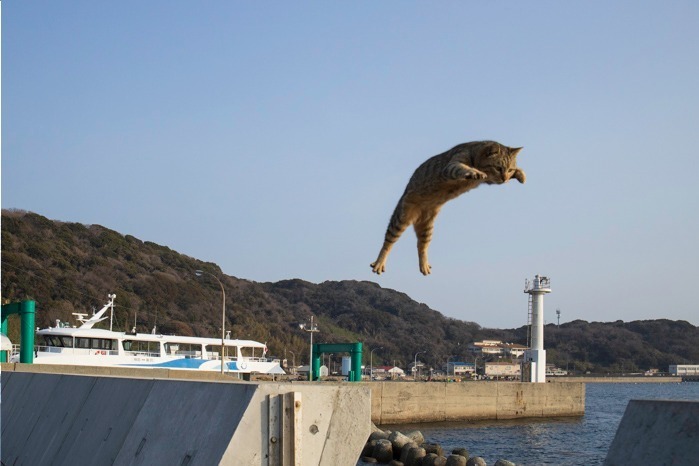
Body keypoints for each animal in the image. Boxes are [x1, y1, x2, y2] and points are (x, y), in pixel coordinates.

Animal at [372, 140, 524, 274]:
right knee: (388, 242)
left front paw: (520, 174)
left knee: (422, 246)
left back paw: (424, 265)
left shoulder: (491, 180)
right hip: (401, 218)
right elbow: (462, 168)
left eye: (510, 169)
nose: (504, 179)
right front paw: (474, 172)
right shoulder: (453, 165)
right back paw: (379, 263)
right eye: (498, 168)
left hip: (427, 228)